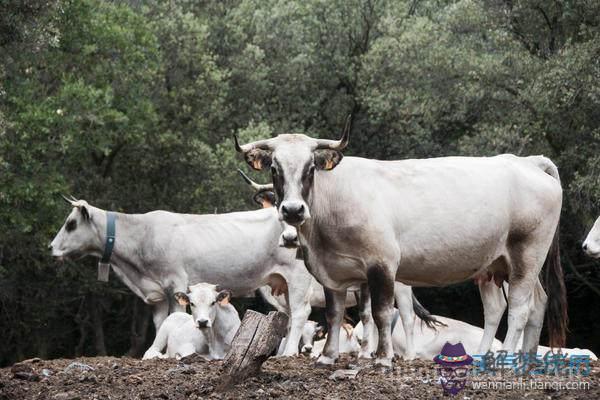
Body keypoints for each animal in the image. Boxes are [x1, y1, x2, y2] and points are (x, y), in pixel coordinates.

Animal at [233, 120, 568, 368]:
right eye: (274, 169)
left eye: (310, 168)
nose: (293, 210)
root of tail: (525, 161)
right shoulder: (332, 271)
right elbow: (334, 313)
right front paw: (327, 358)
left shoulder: (381, 264)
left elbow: (381, 313)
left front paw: (383, 360)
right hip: (494, 265)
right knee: (515, 306)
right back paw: (509, 359)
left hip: (527, 254)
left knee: (521, 308)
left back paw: (508, 359)